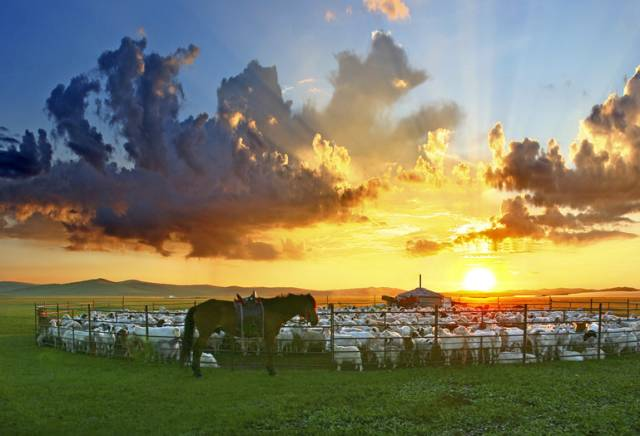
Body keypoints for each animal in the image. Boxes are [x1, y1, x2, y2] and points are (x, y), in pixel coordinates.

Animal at [180, 294, 318, 376]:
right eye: (311, 306)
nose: (315, 320)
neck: (275, 310)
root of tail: (198, 307)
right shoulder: (270, 335)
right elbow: (270, 352)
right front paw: (272, 370)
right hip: (205, 333)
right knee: (197, 349)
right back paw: (197, 372)